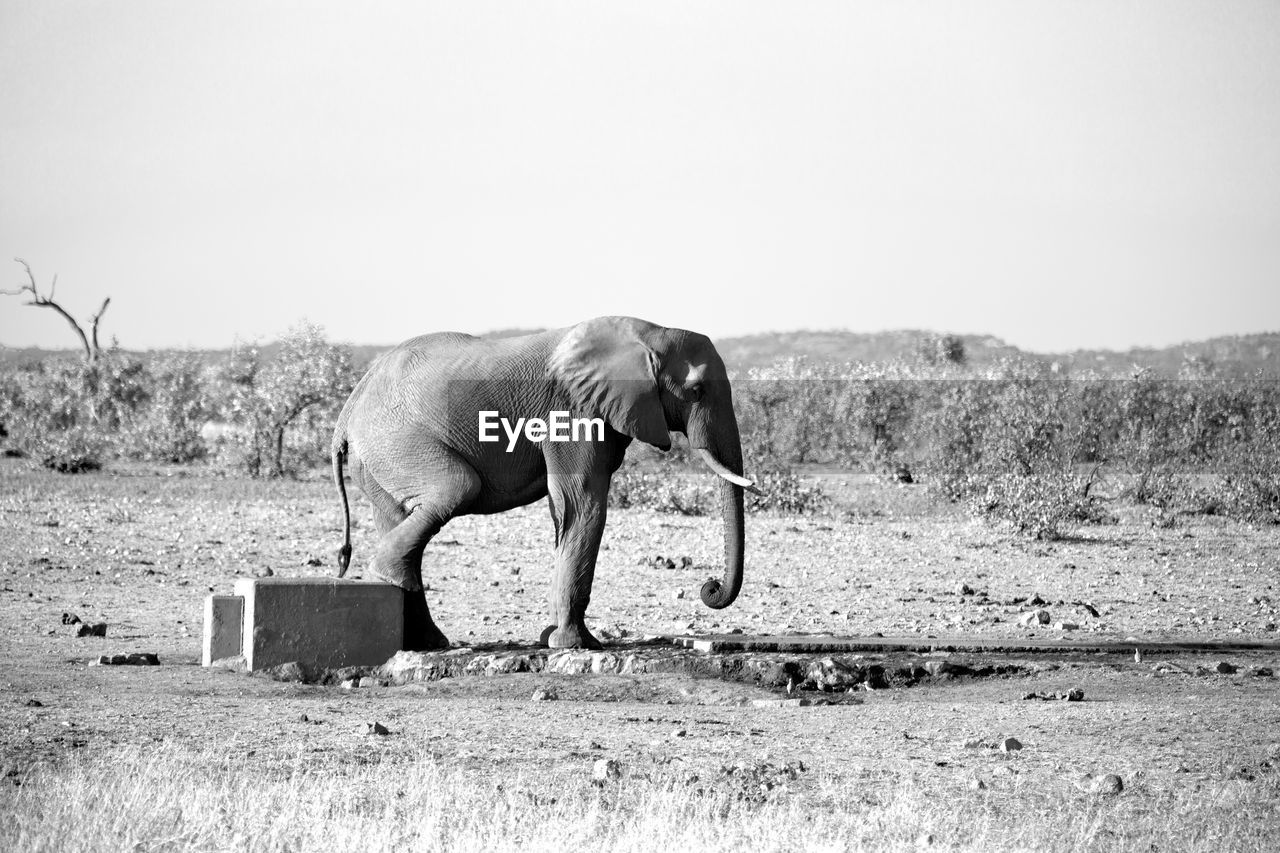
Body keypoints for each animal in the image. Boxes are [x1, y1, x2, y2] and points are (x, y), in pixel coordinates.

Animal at [330, 315, 757, 648]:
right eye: (696, 391)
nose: (709, 588)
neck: (650, 332)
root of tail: (346, 411)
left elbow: (566, 512)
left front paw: (559, 639)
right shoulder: (571, 410)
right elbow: (583, 504)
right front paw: (576, 645)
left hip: (378, 459)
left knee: (397, 515)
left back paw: (428, 642)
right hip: (396, 440)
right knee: (457, 487)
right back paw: (389, 578)